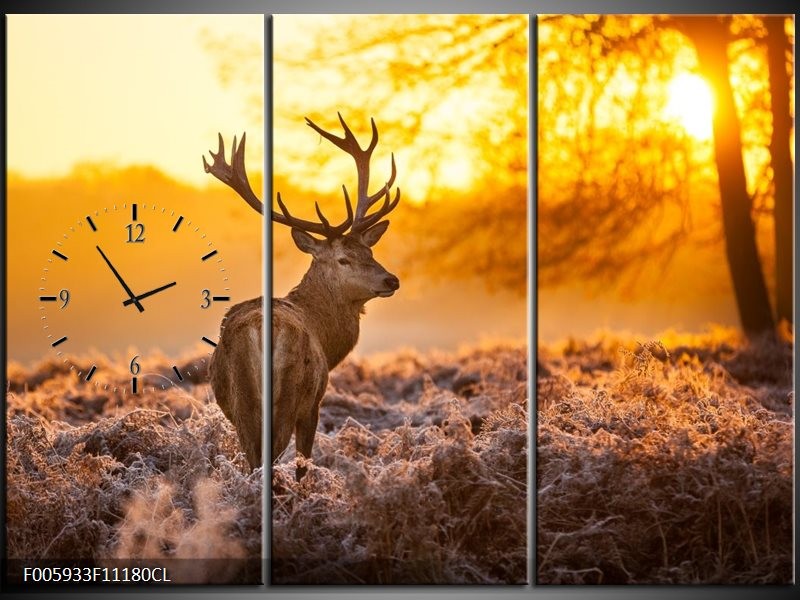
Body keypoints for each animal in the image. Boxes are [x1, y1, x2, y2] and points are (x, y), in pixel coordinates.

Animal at [202, 112, 398, 478]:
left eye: (369, 251)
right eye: (344, 259)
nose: (391, 280)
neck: (326, 336)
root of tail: (259, 333)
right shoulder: (314, 403)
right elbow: (304, 462)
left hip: (241, 401)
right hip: (290, 394)